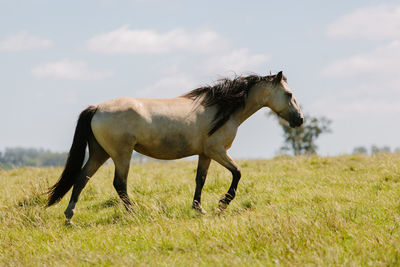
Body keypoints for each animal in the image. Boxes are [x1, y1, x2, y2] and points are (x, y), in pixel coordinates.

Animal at [47, 71, 304, 224]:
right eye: (289, 94)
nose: (299, 120)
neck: (219, 109)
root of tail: (97, 108)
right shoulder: (218, 151)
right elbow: (238, 173)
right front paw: (222, 204)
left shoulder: (205, 154)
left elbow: (201, 180)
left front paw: (199, 209)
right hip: (121, 154)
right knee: (119, 184)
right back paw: (135, 213)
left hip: (100, 153)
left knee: (82, 178)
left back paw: (69, 217)